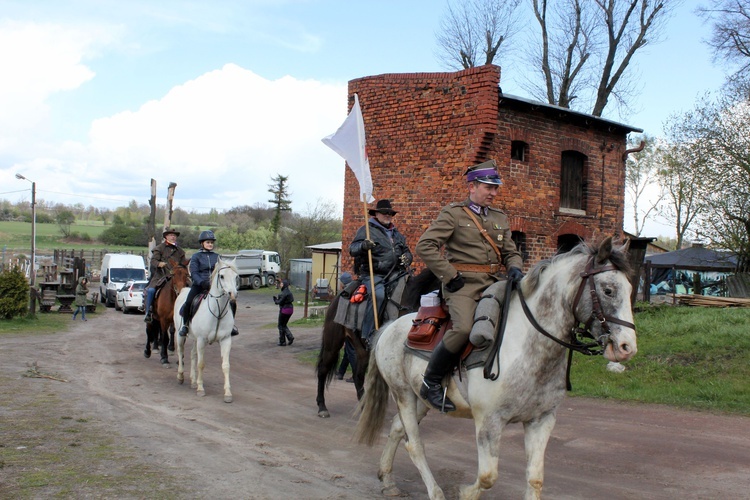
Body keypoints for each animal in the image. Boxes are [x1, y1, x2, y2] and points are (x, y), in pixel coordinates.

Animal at [175, 258, 239, 402]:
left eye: (236, 276)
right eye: (222, 276)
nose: (233, 294)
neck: (218, 312)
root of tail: (183, 290)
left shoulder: (226, 340)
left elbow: (226, 366)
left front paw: (228, 394)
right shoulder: (201, 340)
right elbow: (201, 364)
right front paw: (200, 389)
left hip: (194, 338)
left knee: (192, 354)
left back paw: (193, 381)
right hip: (180, 335)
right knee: (180, 351)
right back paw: (180, 376)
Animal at [316, 270, 444, 418]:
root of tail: (335, 300)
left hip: (362, 350)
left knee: (358, 376)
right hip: (332, 344)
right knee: (323, 369)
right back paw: (322, 407)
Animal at [356, 236, 636, 498]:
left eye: (631, 288)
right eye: (608, 290)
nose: (627, 347)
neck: (527, 347)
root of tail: (389, 326)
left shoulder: (541, 421)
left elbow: (535, 479)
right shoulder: (489, 422)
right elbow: (488, 476)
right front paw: (465, 493)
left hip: (421, 399)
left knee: (396, 429)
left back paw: (387, 480)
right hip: (403, 394)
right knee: (414, 444)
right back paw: (435, 492)